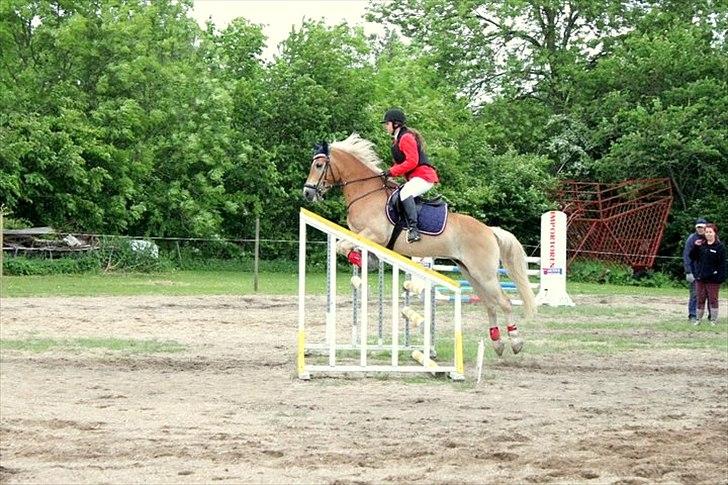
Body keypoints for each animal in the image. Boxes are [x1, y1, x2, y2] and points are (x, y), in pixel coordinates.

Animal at [302, 133, 536, 356]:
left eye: (319, 165)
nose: (307, 192)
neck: (365, 192)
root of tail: (489, 230)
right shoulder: (359, 234)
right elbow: (341, 246)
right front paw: (366, 260)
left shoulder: (373, 235)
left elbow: (342, 246)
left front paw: (364, 260)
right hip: (470, 272)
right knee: (490, 304)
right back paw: (497, 343)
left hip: (484, 274)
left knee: (504, 302)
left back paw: (515, 342)